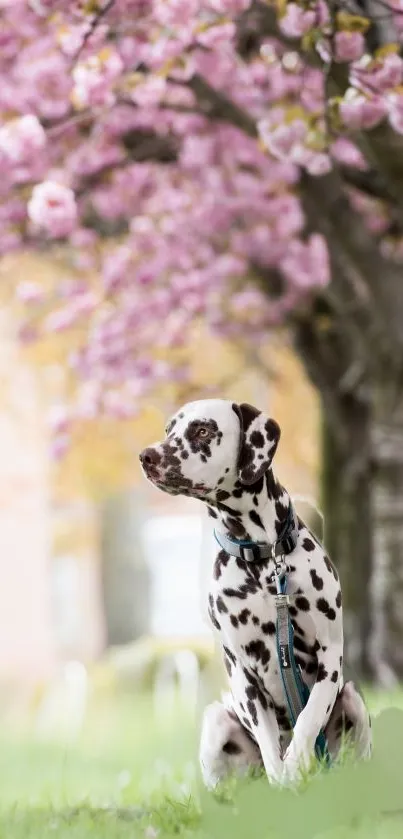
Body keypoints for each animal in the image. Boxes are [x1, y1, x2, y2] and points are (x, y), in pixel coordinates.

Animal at [140, 400, 372, 788]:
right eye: (169, 429)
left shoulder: (330, 657)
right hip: (216, 720)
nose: (147, 456)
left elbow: (309, 718)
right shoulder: (242, 673)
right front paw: (284, 779)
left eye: (202, 430)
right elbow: (269, 745)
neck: (263, 559)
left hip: (353, 700)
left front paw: (296, 762)